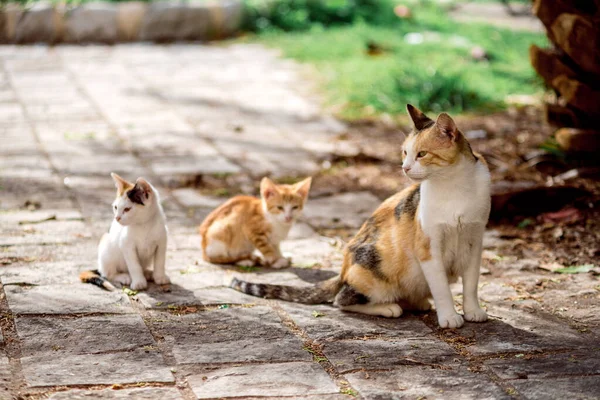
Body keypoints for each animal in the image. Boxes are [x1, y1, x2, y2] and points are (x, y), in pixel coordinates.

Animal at [230, 105, 492, 328]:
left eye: (422, 154)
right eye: (405, 152)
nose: (404, 167)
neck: (454, 187)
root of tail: (342, 272)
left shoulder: (475, 240)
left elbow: (471, 284)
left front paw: (473, 311)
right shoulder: (428, 246)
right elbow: (441, 287)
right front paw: (449, 317)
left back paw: (417, 302)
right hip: (374, 265)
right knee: (341, 300)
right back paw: (388, 307)